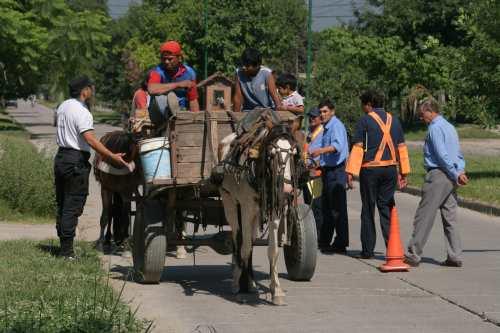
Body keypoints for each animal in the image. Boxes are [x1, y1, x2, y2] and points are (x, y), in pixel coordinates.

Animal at [218, 126, 296, 304]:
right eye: (272, 154)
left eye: (292, 154)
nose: (287, 191)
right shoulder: (246, 208)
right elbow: (245, 247)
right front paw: (238, 286)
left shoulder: (274, 211)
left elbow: (273, 251)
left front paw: (276, 290)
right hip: (230, 203)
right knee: (237, 238)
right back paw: (239, 279)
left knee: (251, 240)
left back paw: (251, 282)